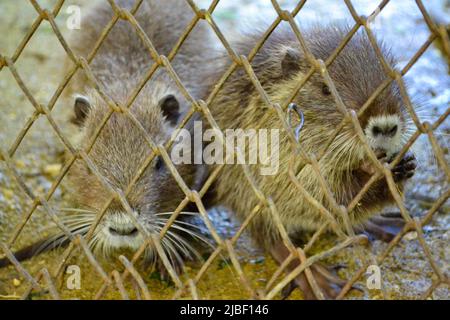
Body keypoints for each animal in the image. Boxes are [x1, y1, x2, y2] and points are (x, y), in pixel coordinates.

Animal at [204, 23, 418, 298]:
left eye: (393, 81)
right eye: (326, 89)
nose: (385, 126)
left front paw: (402, 164)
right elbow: (321, 199)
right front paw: (383, 173)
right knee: (272, 239)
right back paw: (323, 281)